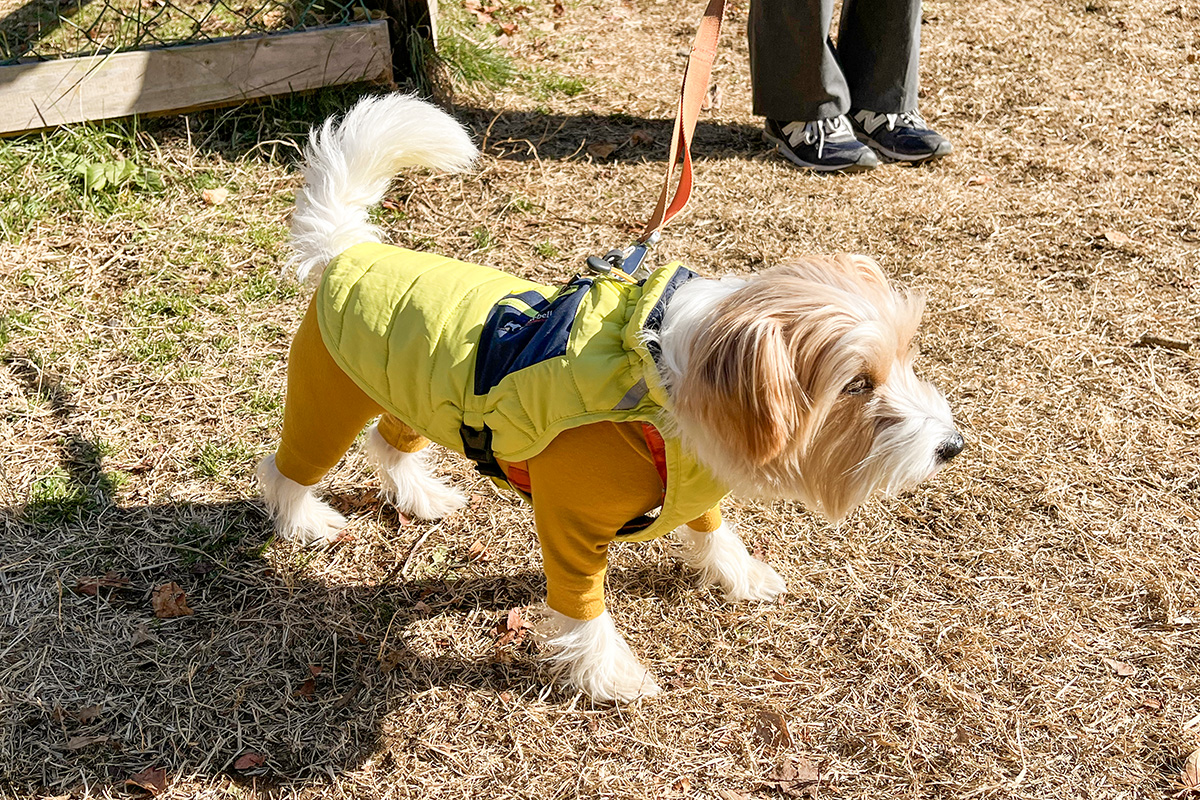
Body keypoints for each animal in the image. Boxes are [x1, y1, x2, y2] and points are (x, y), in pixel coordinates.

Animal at [255, 94, 964, 705]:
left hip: (410, 395)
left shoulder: (691, 480)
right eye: (857, 384)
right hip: (329, 397)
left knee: (388, 442)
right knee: (287, 467)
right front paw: (610, 675)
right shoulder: (570, 522)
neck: (652, 377)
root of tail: (349, 248)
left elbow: (713, 530)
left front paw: (740, 575)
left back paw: (422, 497)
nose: (951, 447)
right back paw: (306, 521)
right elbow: (582, 610)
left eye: (905, 359)